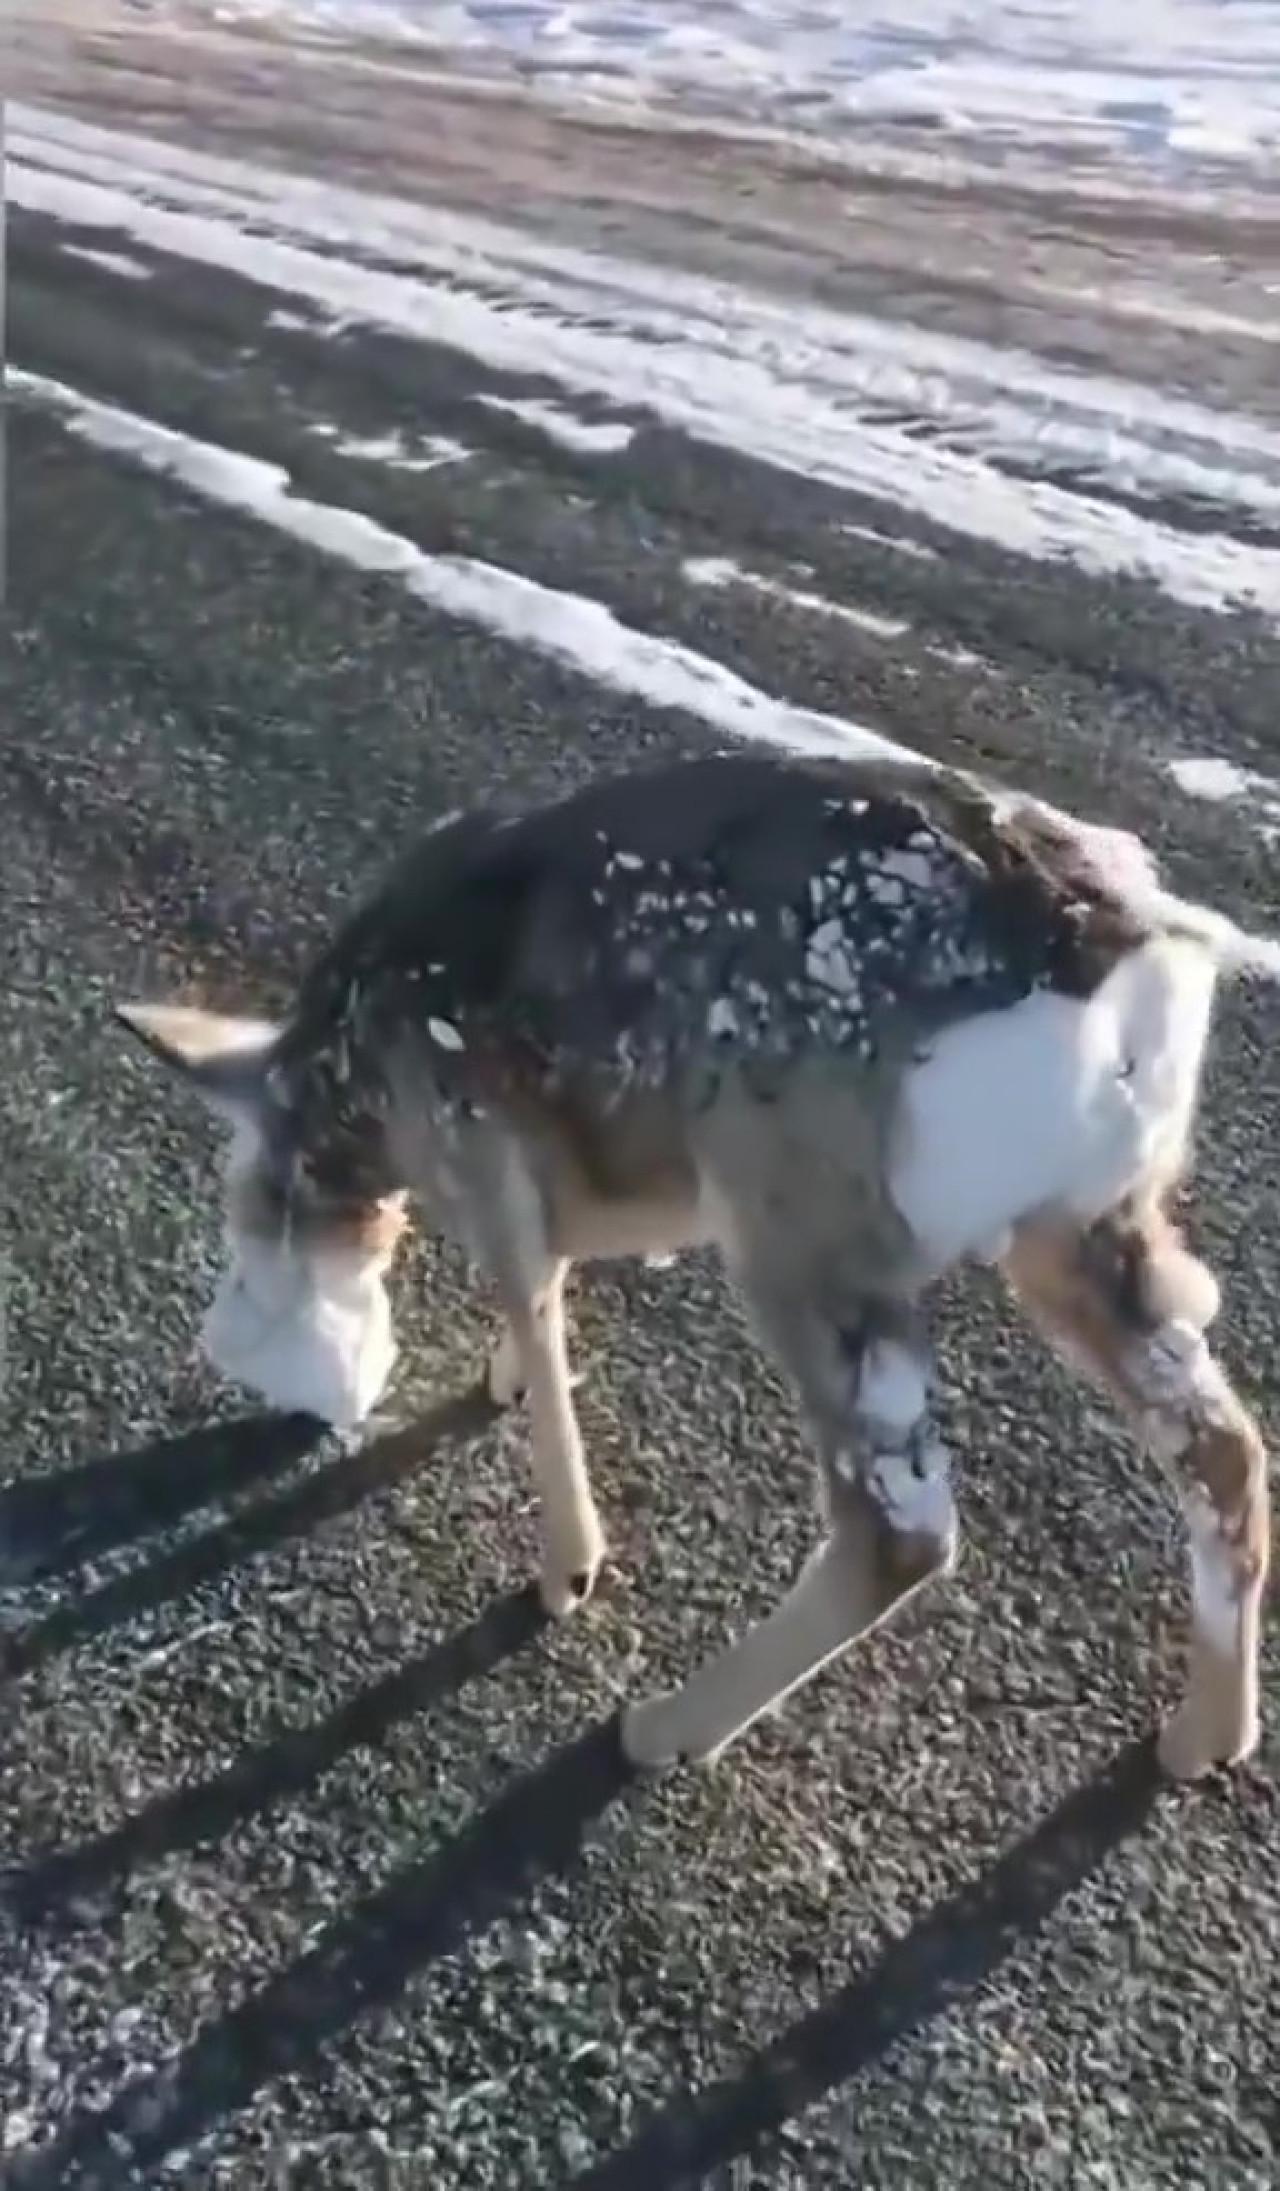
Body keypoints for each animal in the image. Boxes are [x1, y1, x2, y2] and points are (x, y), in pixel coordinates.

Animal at [115, 749, 1271, 1779]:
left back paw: (665, 1728)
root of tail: (1133, 967)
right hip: (1089, 1223)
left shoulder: (470, 1129)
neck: (353, 1080)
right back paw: (1204, 1738)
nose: (234, 1345)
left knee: (900, 1527)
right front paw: (506, 1384)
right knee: (1223, 1448)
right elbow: (559, 1268)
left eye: (245, 1214)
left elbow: (529, 1289)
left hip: (808, 1218)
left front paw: (566, 1567)